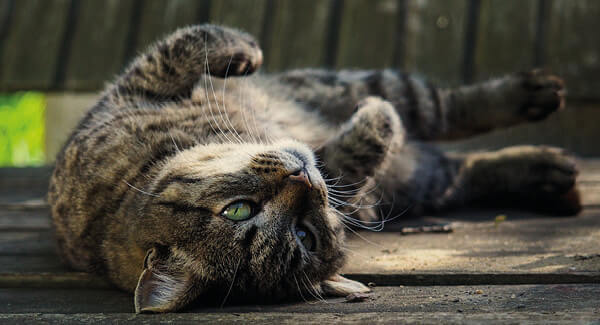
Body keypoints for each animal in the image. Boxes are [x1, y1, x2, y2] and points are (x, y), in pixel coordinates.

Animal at [48, 24, 580, 312]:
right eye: (305, 235)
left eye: (237, 210)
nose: (302, 177)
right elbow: (354, 154)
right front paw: (374, 123)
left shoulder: (134, 88)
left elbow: (192, 40)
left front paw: (242, 51)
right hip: (405, 155)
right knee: (447, 145)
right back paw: (549, 165)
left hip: (336, 86)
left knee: (446, 116)